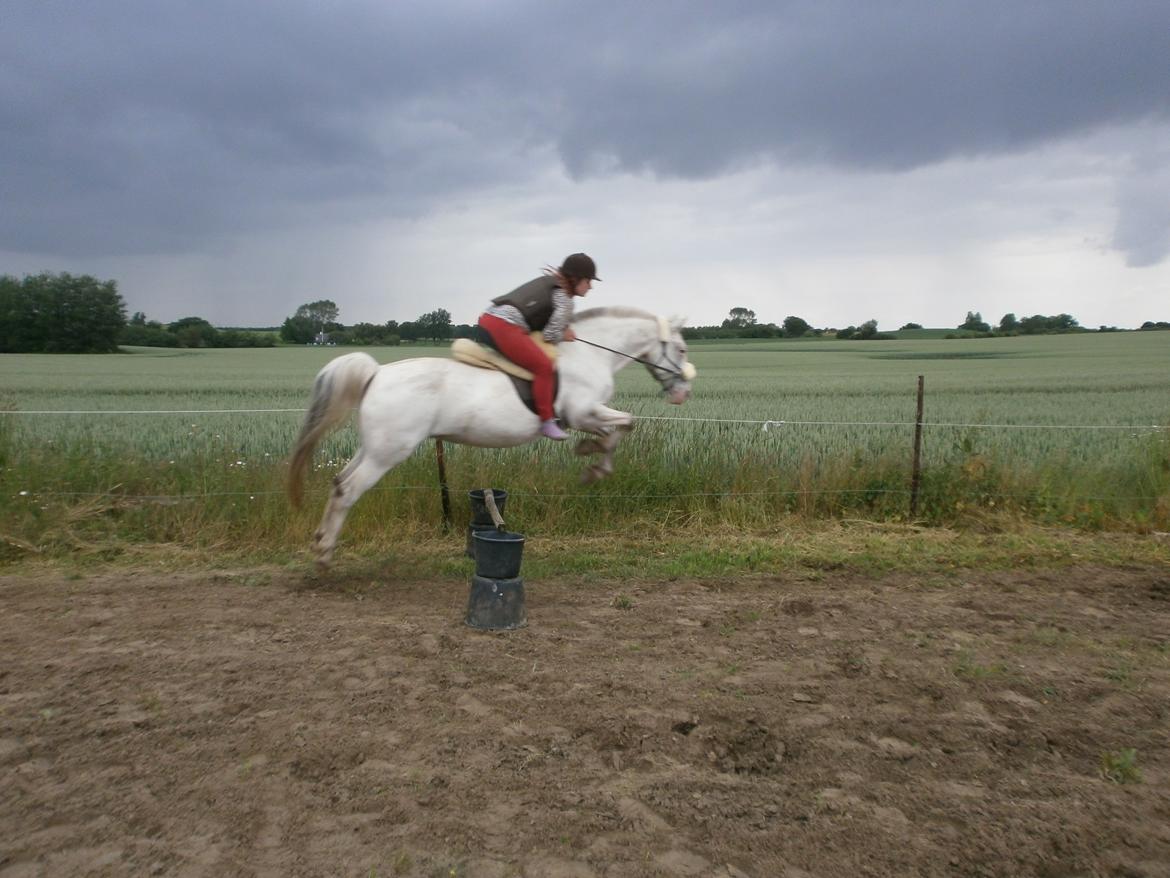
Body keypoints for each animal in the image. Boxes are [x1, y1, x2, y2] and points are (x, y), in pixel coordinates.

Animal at [288, 306, 697, 571]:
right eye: (681, 349)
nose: (682, 394)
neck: (589, 354)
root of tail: (376, 373)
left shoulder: (587, 414)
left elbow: (621, 426)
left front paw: (592, 453)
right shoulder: (582, 411)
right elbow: (624, 424)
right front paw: (594, 461)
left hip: (374, 447)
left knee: (339, 482)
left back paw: (320, 544)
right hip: (388, 452)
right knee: (348, 489)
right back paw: (323, 555)